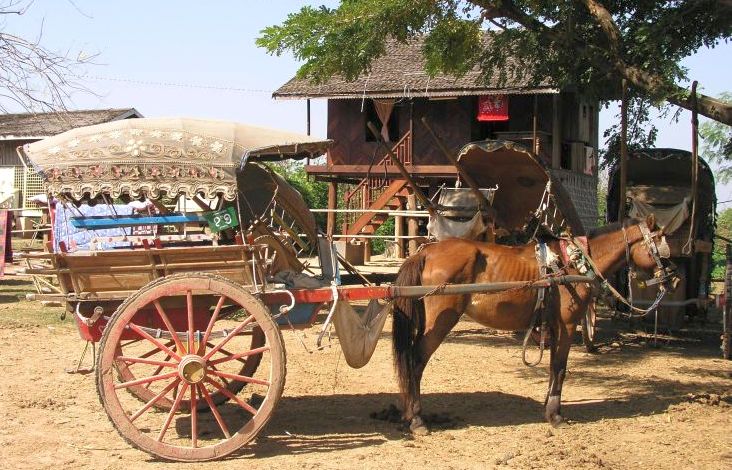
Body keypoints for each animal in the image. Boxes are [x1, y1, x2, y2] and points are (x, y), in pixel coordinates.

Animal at [392, 214, 672, 434]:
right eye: (659, 244)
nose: (671, 277)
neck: (572, 264)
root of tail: (426, 252)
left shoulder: (554, 326)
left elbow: (552, 367)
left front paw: (548, 409)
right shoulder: (567, 325)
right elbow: (560, 367)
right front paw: (556, 415)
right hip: (441, 322)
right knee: (415, 361)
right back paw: (416, 419)